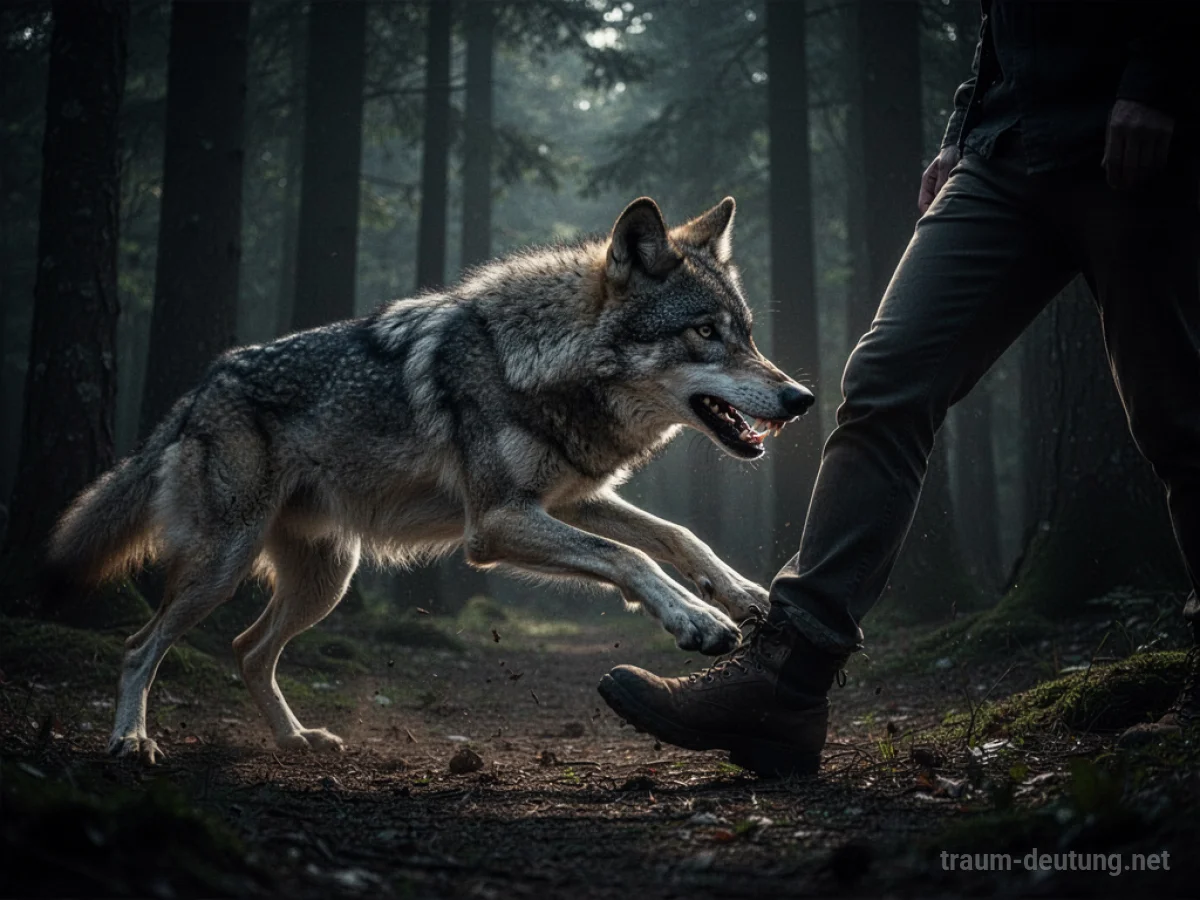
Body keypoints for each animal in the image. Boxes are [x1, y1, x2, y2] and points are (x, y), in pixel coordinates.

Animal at [47, 196, 814, 763]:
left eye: (747, 333)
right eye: (706, 333)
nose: (802, 397)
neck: (533, 362)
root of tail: (200, 390)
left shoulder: (572, 499)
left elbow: (675, 536)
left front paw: (746, 594)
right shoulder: (497, 522)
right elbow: (628, 557)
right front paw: (696, 619)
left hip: (327, 580)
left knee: (247, 650)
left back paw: (297, 739)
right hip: (224, 568)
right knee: (141, 646)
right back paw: (131, 740)